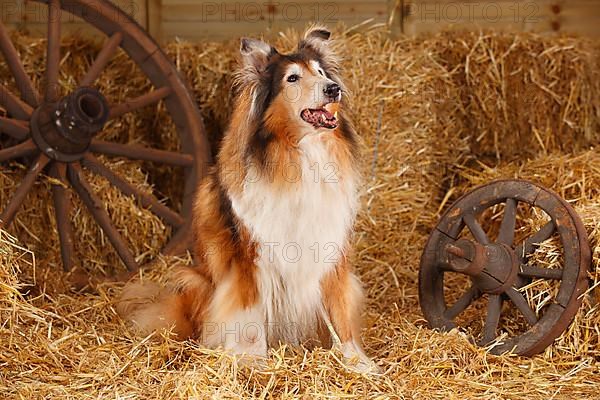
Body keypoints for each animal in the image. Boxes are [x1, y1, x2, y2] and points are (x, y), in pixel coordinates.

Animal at [118, 27, 376, 372]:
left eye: (320, 73)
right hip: (195, 280)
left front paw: (357, 361)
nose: (333, 89)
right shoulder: (251, 257)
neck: (301, 157)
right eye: (292, 78)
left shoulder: (329, 251)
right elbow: (250, 313)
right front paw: (252, 360)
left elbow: (339, 309)